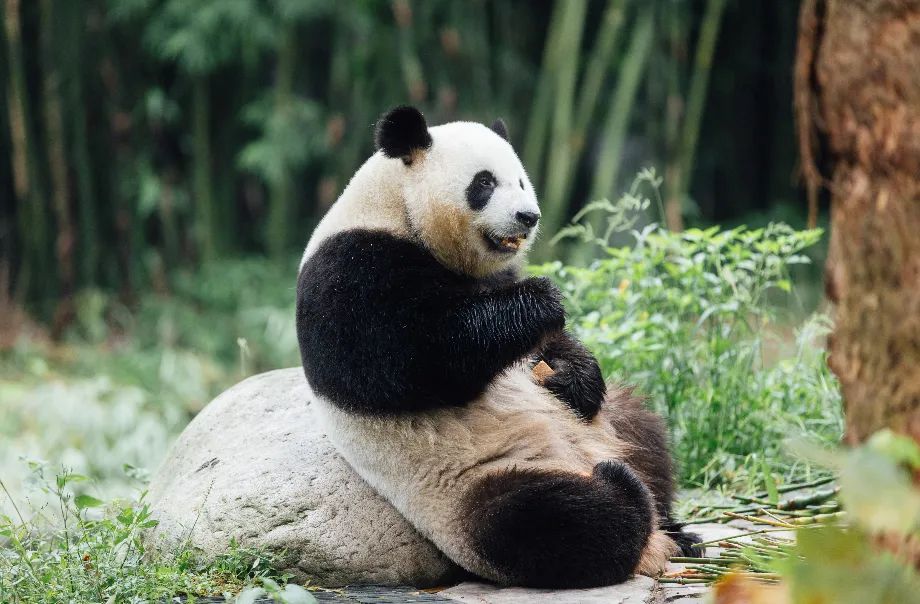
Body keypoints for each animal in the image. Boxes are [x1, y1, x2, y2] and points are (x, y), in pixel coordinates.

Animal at [296, 106, 697, 588]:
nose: (529, 216)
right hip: (470, 488)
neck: (398, 210)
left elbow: (551, 349)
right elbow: (409, 361)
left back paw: (678, 529)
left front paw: (574, 376)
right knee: (548, 521)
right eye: (484, 183)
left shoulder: (495, 272)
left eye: (521, 181)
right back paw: (623, 492)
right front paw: (541, 300)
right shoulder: (350, 269)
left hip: (610, 426)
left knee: (646, 432)